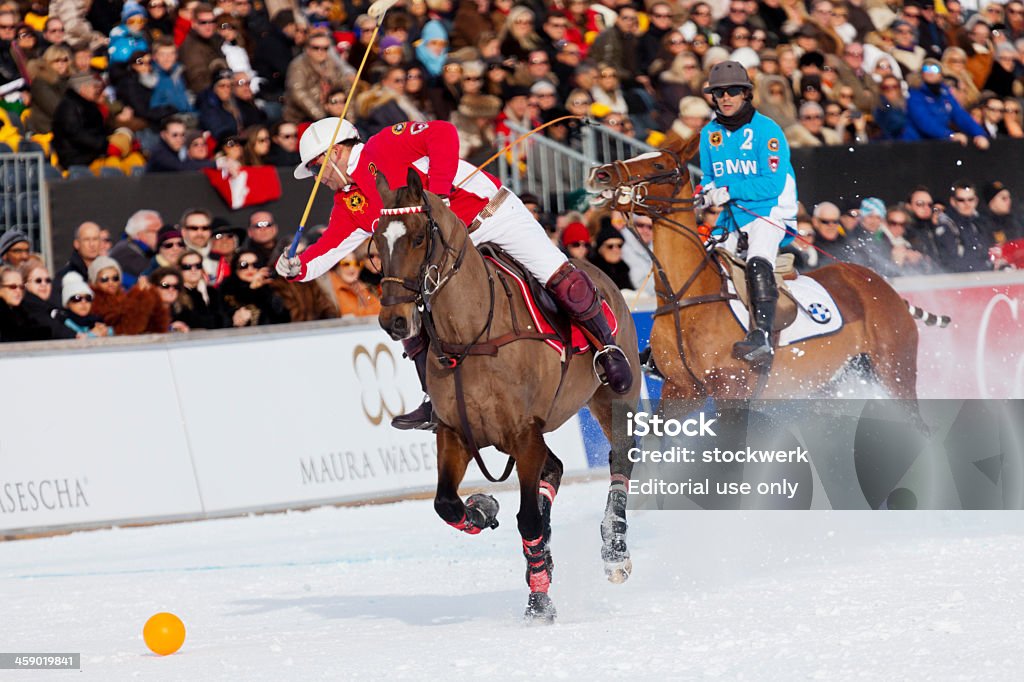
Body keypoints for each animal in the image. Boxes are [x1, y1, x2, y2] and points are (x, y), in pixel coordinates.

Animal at [368, 168, 638, 622]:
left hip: (613, 395)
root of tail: (595, 269)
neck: (472, 336)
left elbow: (527, 519)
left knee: (621, 456)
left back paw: (614, 549)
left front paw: (539, 604)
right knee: (556, 468)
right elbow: (446, 503)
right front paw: (484, 509)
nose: (395, 320)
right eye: (376, 243)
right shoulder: (455, 434)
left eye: (420, 236)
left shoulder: (525, 436)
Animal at [589, 135, 937, 417]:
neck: (685, 297)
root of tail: (882, 285)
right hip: (835, 382)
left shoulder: (730, 388)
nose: (600, 174)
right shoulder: (681, 389)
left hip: (895, 371)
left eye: (659, 163)